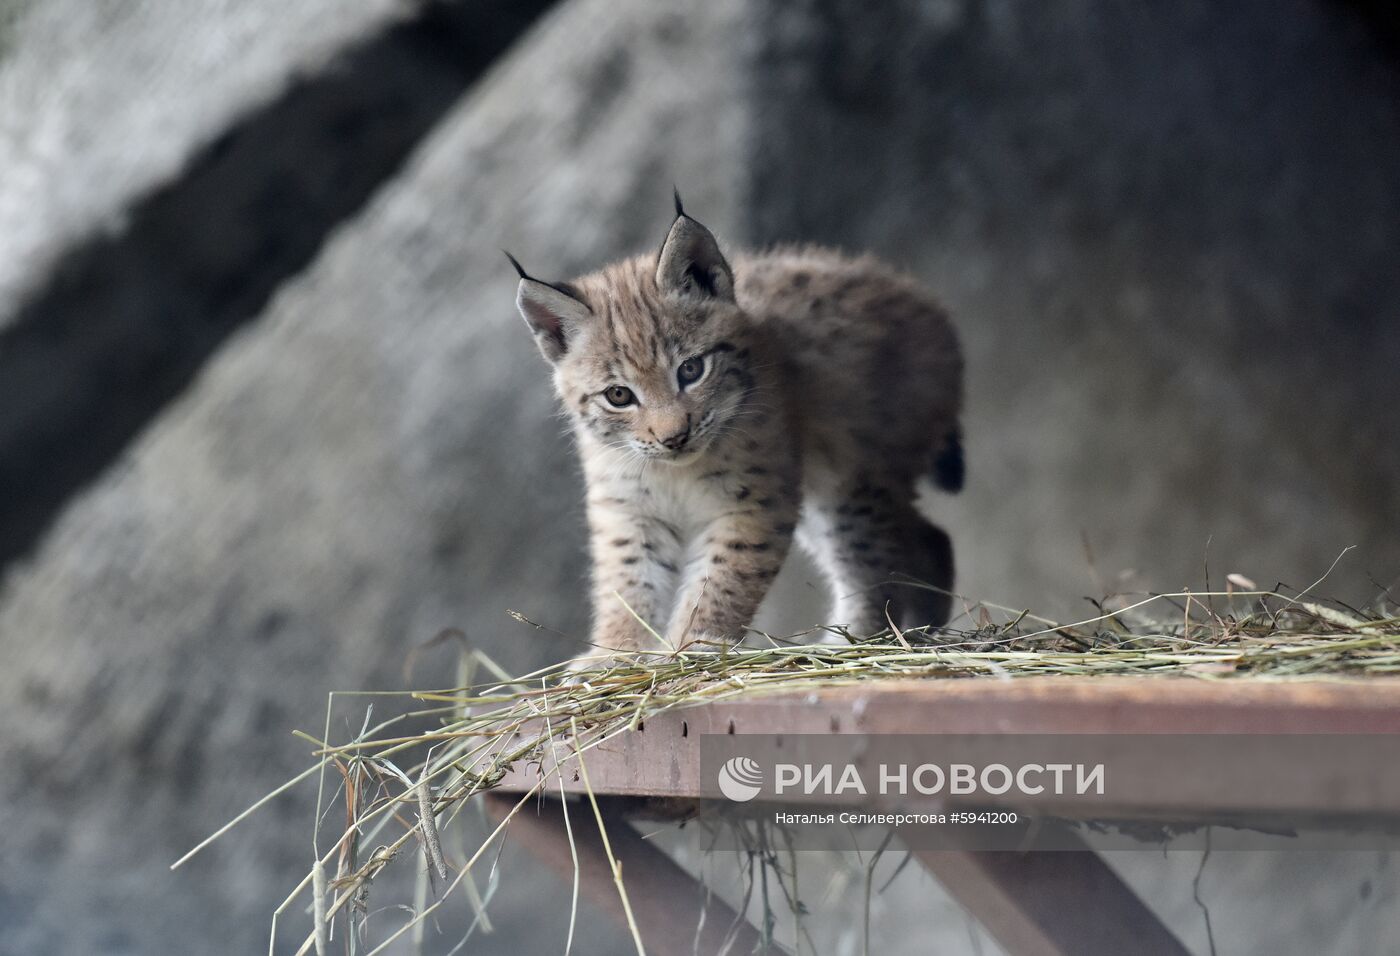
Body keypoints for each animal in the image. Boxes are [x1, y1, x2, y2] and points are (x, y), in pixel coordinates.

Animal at [515, 190, 963, 660]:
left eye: (691, 370)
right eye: (619, 395)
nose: (674, 437)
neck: (674, 471)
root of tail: (922, 299)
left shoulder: (752, 500)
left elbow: (724, 577)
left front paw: (696, 646)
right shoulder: (627, 506)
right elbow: (626, 583)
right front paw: (616, 655)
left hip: (852, 478)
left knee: (880, 558)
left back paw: (855, 642)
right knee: (927, 538)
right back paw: (917, 631)